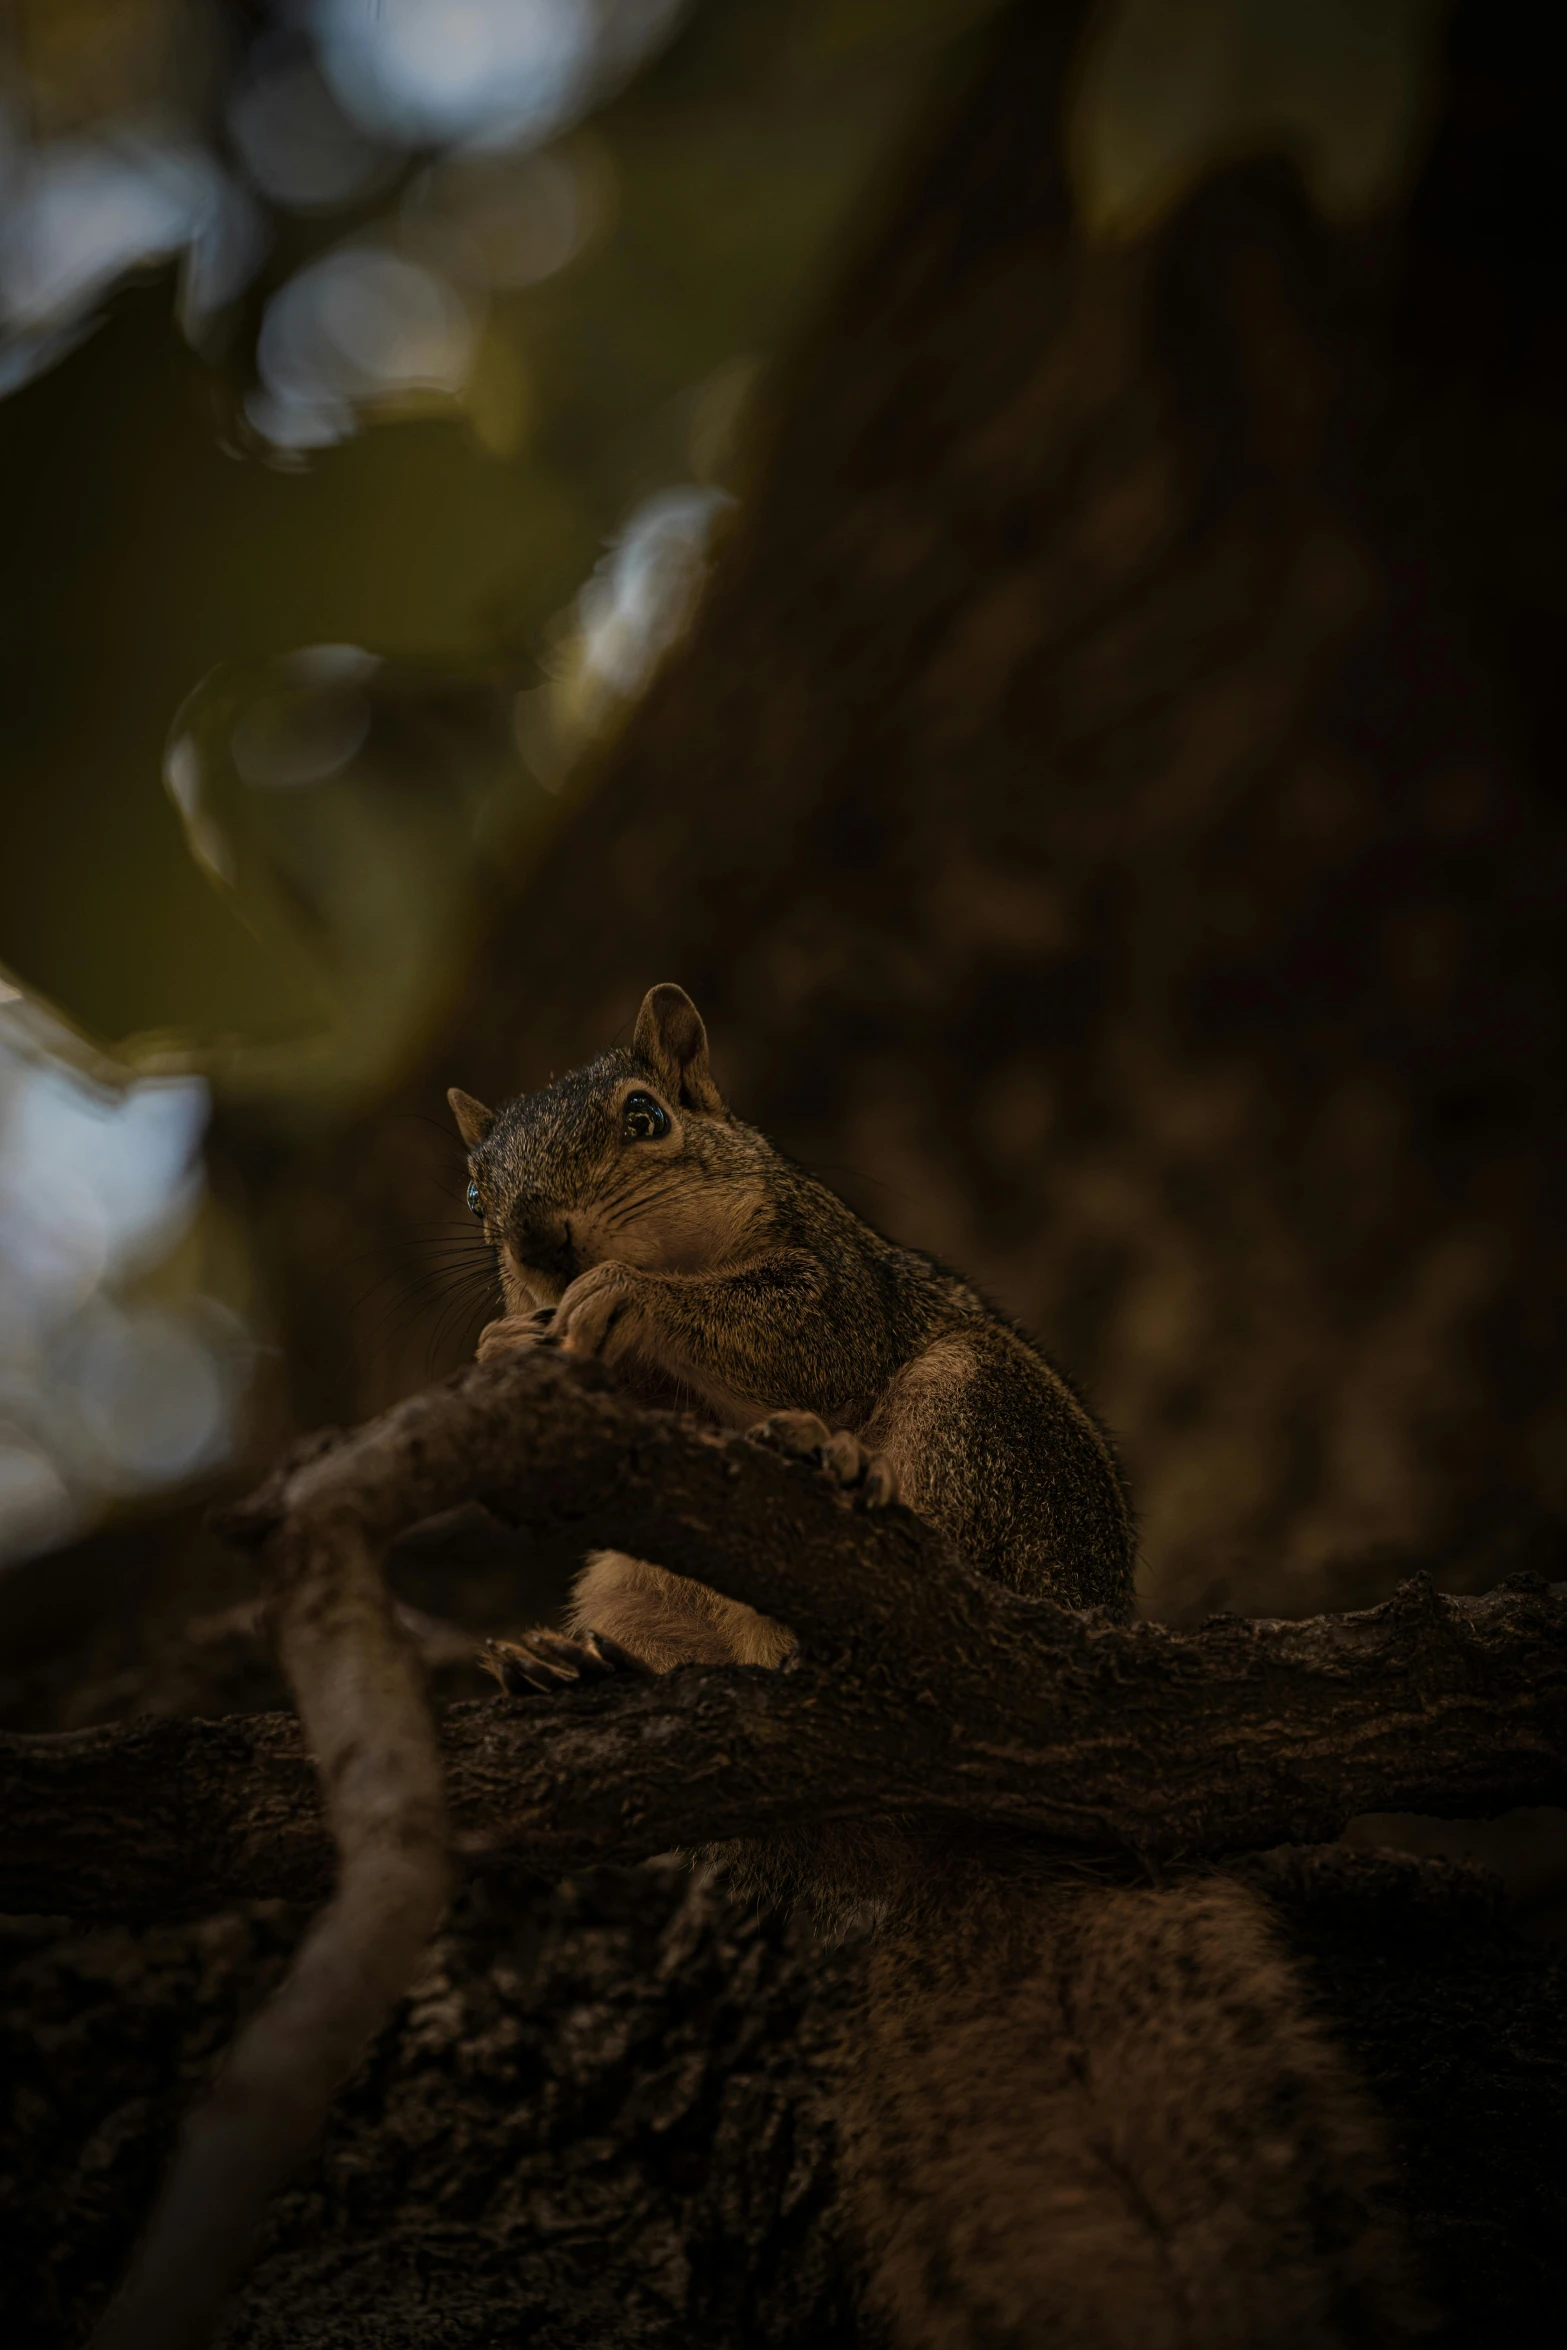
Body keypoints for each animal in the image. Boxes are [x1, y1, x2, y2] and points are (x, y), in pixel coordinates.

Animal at [451, 986, 1418, 2350]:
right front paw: (499, 1340)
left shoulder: (836, 1279)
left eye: (644, 1117)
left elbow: (798, 1333)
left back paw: (838, 1478)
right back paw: (572, 1670)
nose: (536, 1244)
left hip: (978, 1421)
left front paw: (623, 1294)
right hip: (631, 1580)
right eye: (474, 1188)